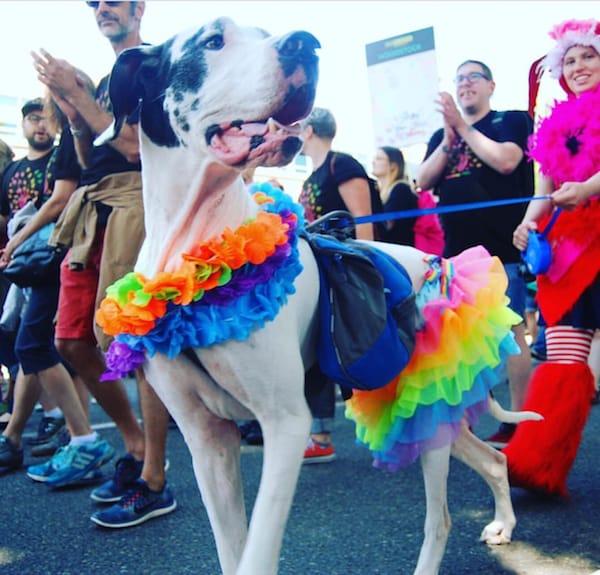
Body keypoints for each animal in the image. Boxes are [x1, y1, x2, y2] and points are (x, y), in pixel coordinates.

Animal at [103, 18, 540, 575]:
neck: (193, 251)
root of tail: (439, 264)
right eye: (212, 40)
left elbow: (257, 553)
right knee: (494, 458)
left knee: (439, 518)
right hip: (423, 413)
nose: (305, 43)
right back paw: (503, 522)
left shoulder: (286, 423)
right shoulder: (207, 441)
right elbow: (233, 551)